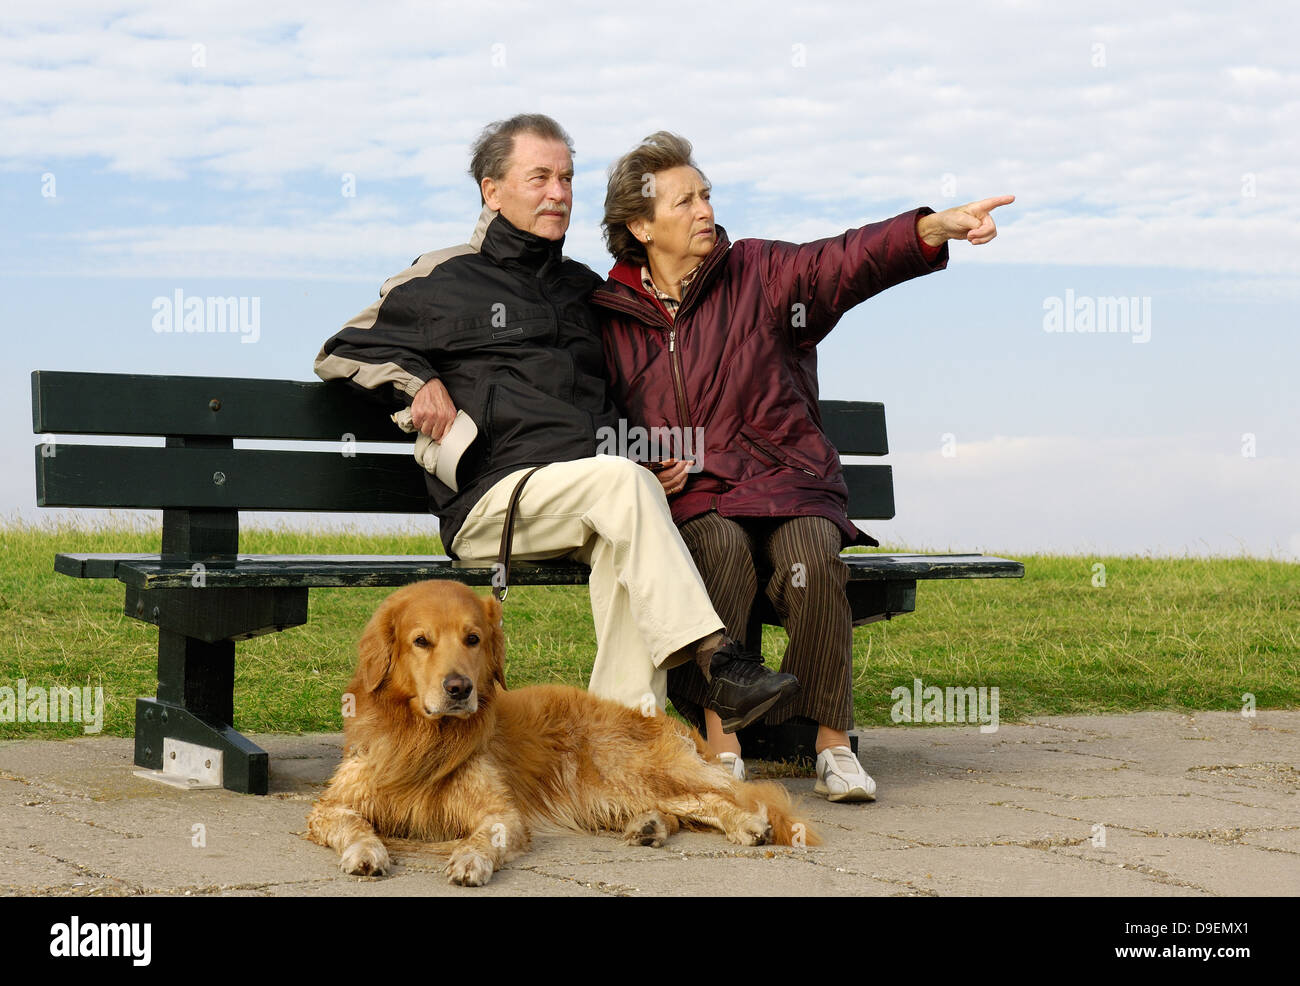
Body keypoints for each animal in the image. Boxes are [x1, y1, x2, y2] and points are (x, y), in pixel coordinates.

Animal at [306, 580, 811, 889]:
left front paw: (470, 859)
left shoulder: (503, 813)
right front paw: (366, 851)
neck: (424, 736)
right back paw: (648, 827)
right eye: (421, 641)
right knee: (680, 810)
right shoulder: (331, 805)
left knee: (713, 798)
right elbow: (352, 824)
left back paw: (748, 824)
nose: (459, 688)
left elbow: (484, 837)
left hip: (626, 771)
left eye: (473, 639)